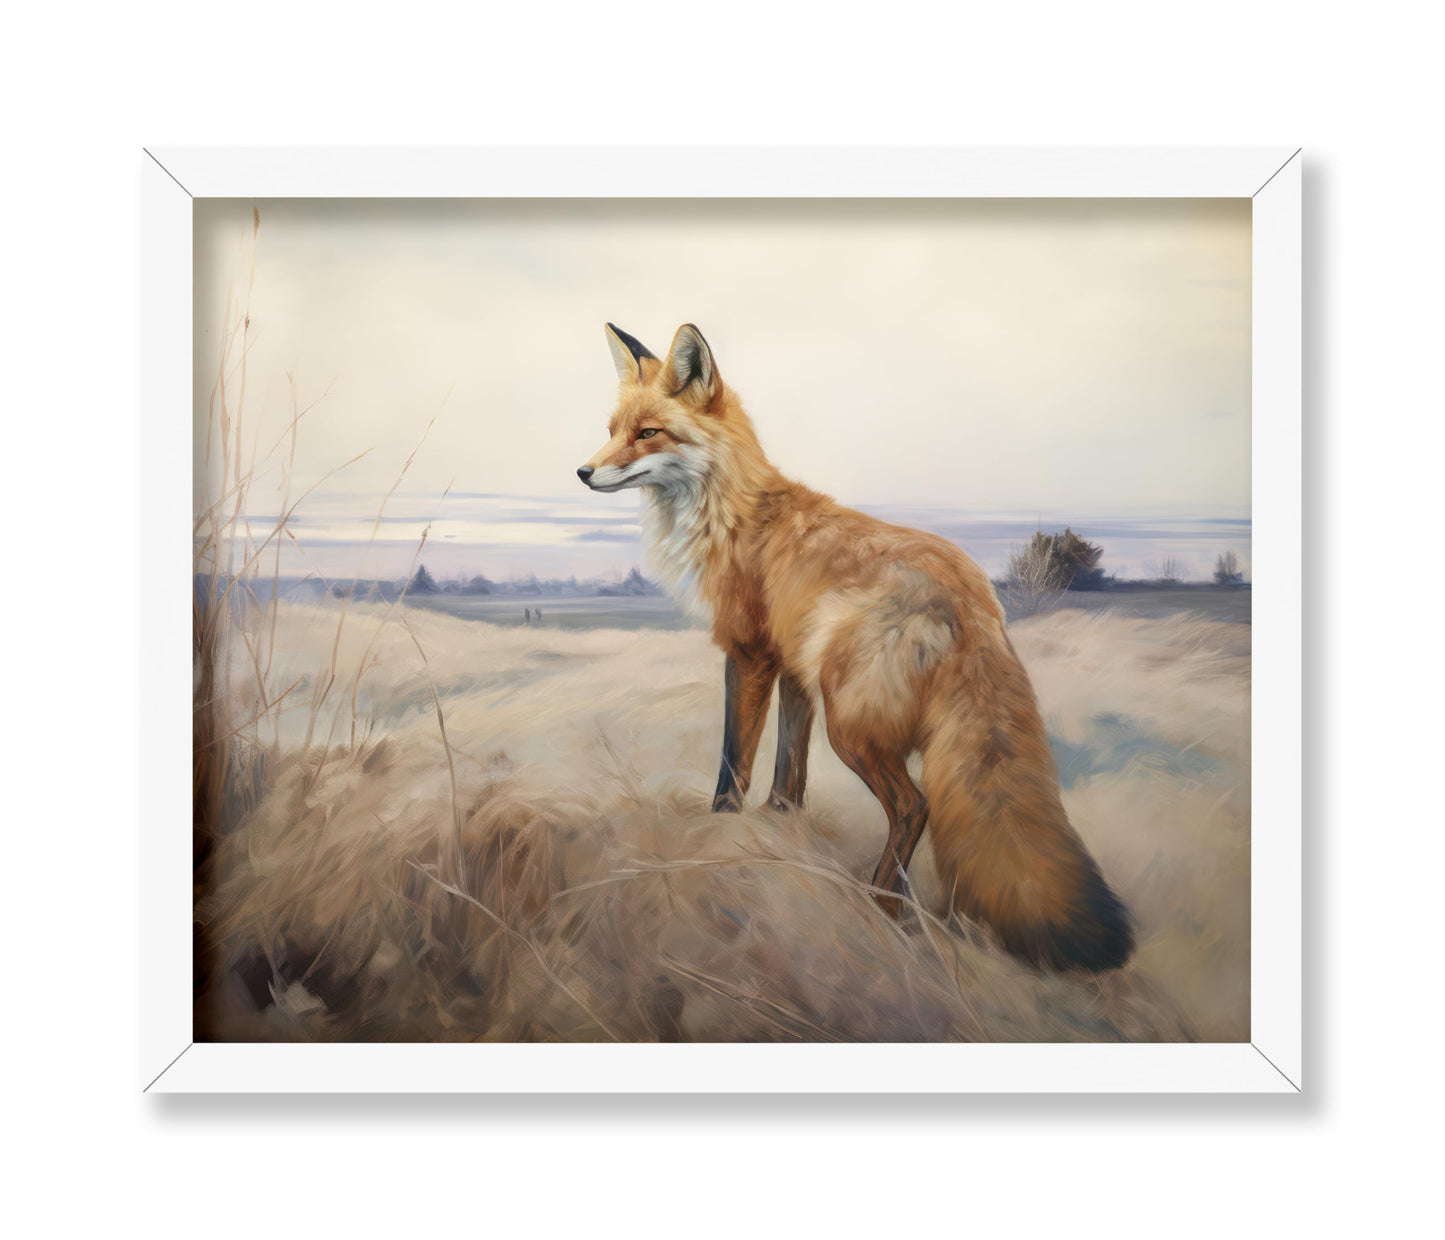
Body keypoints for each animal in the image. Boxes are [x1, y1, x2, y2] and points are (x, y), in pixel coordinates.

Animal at [578, 323, 1134, 972]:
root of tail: (976, 600)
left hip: (851, 722)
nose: (582, 472)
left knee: (915, 806)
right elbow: (789, 767)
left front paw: (717, 838)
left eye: (648, 434)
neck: (733, 514)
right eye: (611, 431)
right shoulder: (793, 669)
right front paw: (779, 828)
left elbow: (733, 762)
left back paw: (881, 911)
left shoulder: (749, 654)